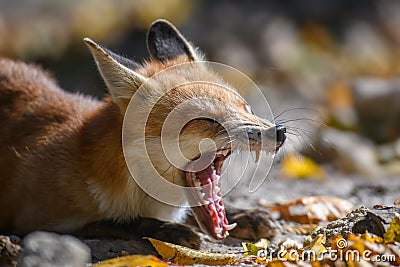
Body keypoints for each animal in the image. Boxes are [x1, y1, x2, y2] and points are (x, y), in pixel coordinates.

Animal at [0, 18, 288, 245]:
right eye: (205, 119)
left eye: (246, 106)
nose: (279, 131)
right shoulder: (35, 220)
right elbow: (118, 221)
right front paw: (167, 230)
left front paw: (245, 215)